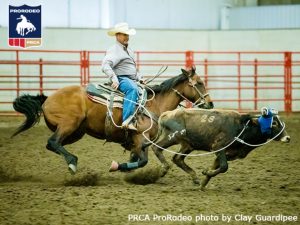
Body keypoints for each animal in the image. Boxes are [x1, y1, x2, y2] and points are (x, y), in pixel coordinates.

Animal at [11, 67, 213, 174]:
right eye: (199, 83)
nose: (210, 103)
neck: (153, 104)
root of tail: (47, 99)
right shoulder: (141, 139)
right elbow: (142, 161)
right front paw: (117, 167)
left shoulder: (138, 144)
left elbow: (138, 159)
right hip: (69, 124)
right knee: (53, 141)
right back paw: (72, 162)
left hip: (76, 132)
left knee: (52, 144)